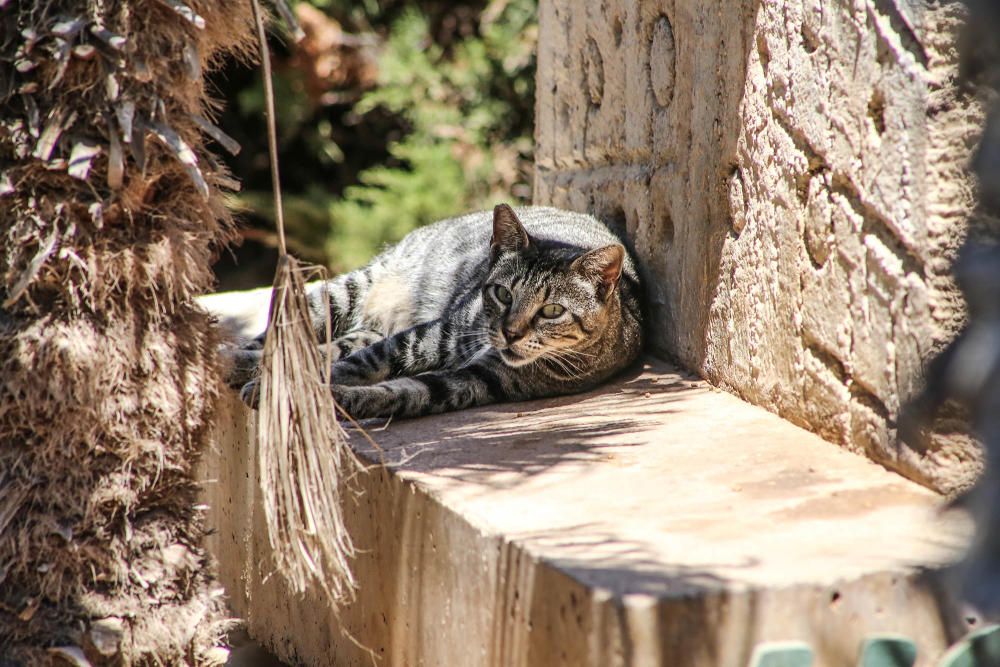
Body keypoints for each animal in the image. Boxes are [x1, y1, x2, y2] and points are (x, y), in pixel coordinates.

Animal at [227, 206, 644, 420]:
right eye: (502, 294)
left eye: (552, 311)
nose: (510, 332)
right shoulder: (432, 335)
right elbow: (360, 364)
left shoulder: (475, 381)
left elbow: (401, 392)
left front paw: (341, 399)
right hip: (348, 290)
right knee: (284, 335)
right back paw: (234, 358)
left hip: (369, 326)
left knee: (329, 347)